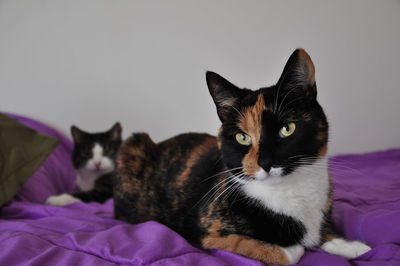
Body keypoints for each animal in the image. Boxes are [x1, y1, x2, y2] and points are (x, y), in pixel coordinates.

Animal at [114, 49, 370, 264]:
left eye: (287, 129)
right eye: (242, 137)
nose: (265, 163)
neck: (291, 193)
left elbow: (323, 232)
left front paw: (352, 246)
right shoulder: (212, 232)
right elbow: (288, 251)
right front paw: (294, 246)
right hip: (133, 146)